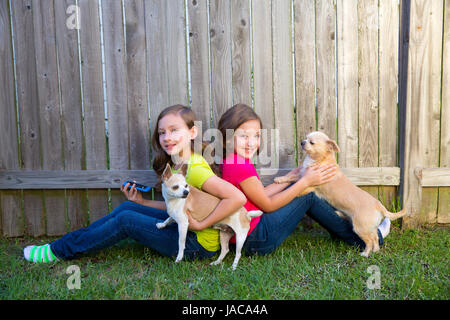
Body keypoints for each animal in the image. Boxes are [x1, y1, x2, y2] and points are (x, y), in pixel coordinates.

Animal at [274, 131, 408, 256]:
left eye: (311, 142)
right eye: (306, 138)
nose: (302, 142)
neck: (320, 160)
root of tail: (379, 206)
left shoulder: (310, 184)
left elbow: (298, 187)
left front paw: (290, 192)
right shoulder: (302, 175)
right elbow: (292, 177)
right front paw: (279, 179)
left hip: (360, 228)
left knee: (369, 240)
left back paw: (365, 253)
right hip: (370, 227)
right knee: (375, 237)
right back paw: (375, 251)